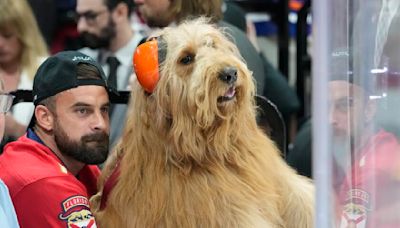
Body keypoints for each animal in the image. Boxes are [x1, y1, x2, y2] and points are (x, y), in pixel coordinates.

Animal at [90, 16, 312, 227]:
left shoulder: (275, 177)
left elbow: (302, 200)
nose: (230, 73)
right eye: (186, 59)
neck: (213, 151)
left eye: (212, 45)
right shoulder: (226, 211)